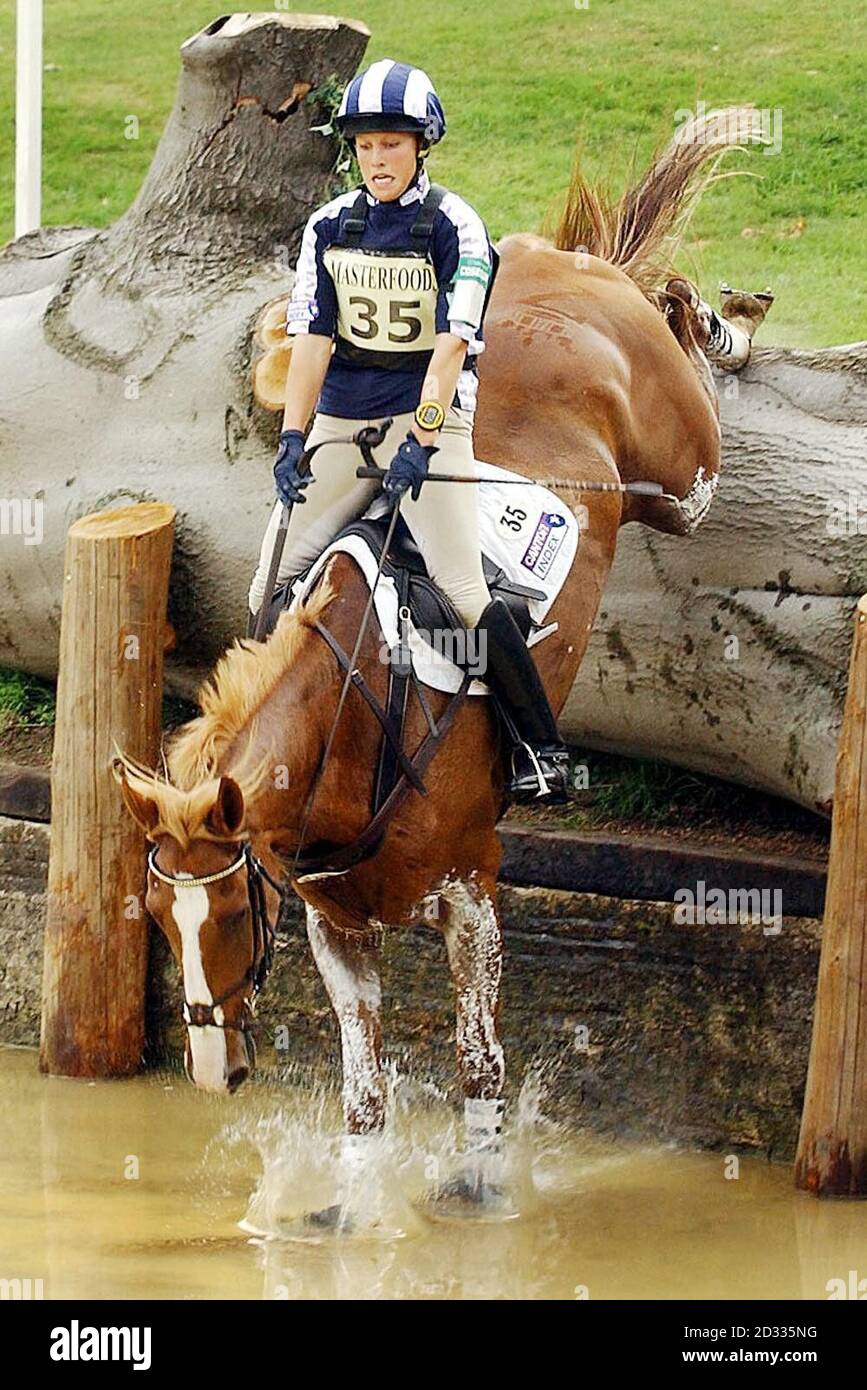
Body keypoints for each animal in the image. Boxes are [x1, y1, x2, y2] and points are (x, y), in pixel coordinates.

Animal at [113, 105, 755, 1206]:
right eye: (156, 914)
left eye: (231, 911)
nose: (209, 1071)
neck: (348, 729)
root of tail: (562, 271)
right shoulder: (336, 927)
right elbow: (365, 1098)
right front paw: (346, 1210)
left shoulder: (472, 897)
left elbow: (479, 1067)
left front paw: (480, 1198)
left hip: (685, 476)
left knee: (672, 321)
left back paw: (725, 321)